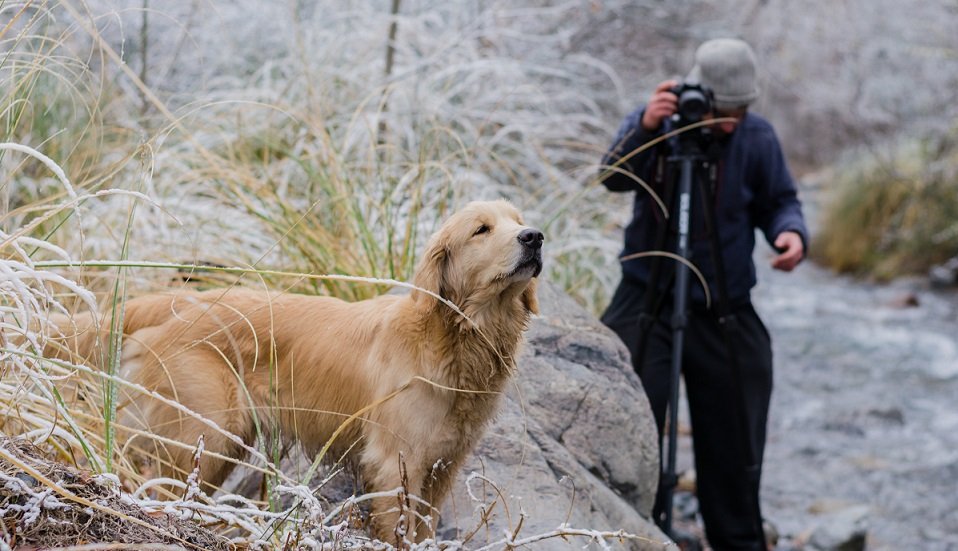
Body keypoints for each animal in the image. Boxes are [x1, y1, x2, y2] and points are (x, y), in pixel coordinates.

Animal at [47, 199, 540, 544]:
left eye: (517, 219)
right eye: (481, 229)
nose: (534, 236)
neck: (454, 340)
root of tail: (179, 301)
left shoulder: (445, 464)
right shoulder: (395, 462)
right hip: (206, 433)